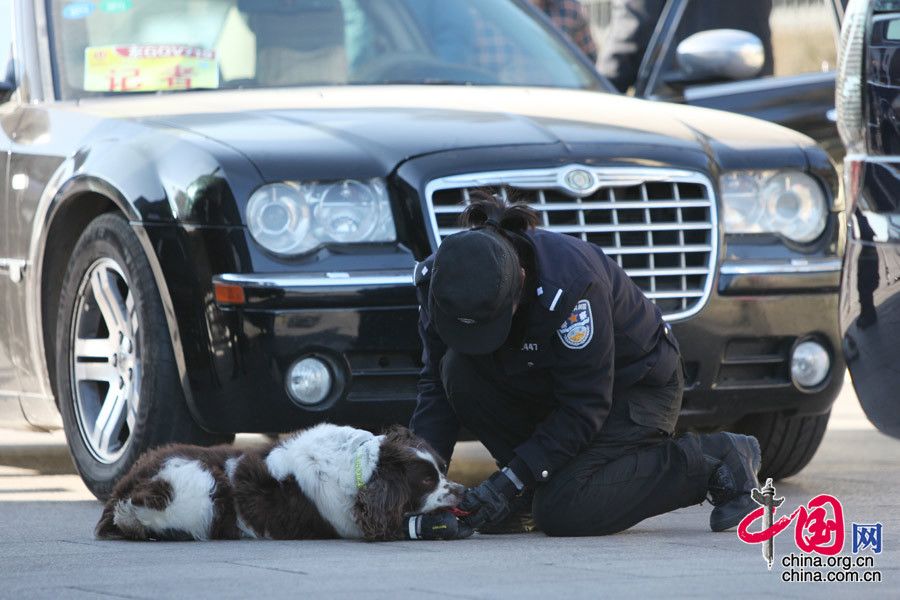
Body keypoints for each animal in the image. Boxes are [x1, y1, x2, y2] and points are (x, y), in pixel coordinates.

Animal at [95, 424, 464, 540]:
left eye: (443, 470)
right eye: (427, 481)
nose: (463, 491)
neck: (364, 467)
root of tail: (122, 493)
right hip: (200, 490)